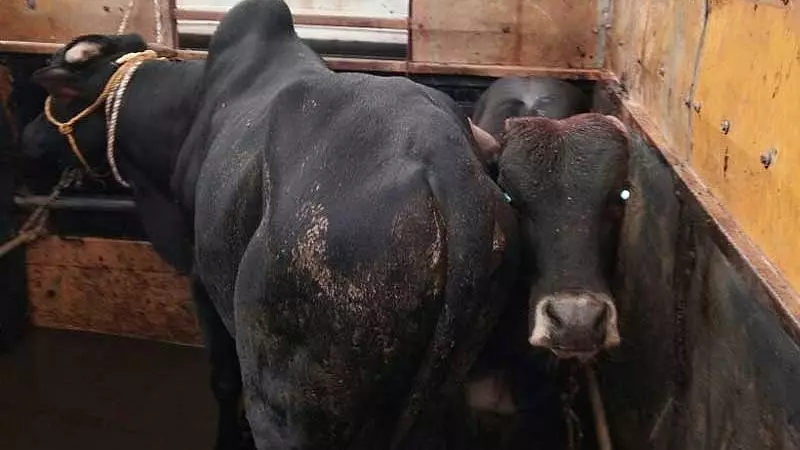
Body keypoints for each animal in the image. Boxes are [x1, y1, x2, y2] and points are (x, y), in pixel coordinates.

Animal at [21, 0, 520, 448]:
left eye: (59, 97)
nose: (27, 136)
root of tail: (446, 161)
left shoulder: (201, 277)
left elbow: (223, 381)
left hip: (285, 399)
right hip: (444, 385)